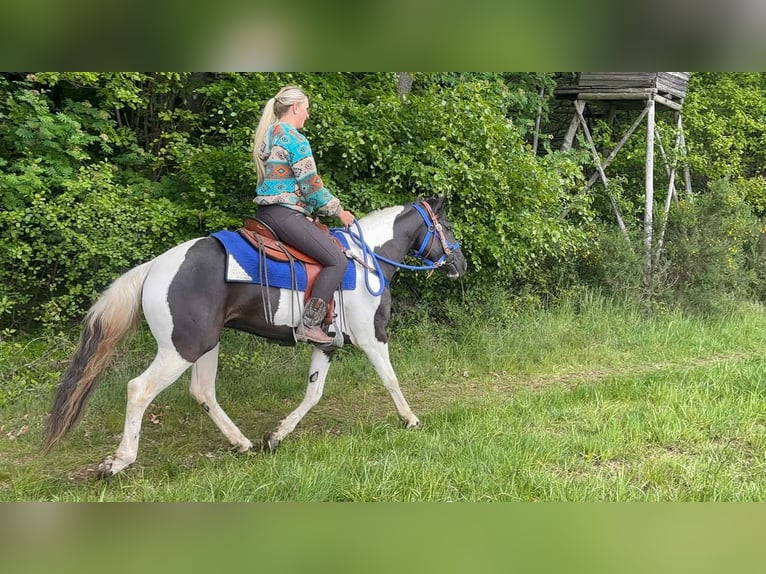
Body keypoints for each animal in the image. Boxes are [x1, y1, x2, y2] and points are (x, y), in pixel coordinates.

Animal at [43, 197, 467, 477]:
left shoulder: (325, 344)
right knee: (139, 389)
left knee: (202, 391)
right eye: (446, 227)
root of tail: (155, 267)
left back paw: (242, 443)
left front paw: (275, 437)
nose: (460, 264)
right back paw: (119, 461)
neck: (370, 259)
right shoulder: (372, 337)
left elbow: (312, 394)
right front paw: (410, 419)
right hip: (181, 348)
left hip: (206, 345)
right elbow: (391, 379)